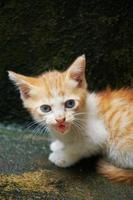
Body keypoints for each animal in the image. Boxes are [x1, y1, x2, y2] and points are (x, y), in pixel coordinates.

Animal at [8, 55, 133, 184]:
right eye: (45, 108)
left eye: (70, 103)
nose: (60, 119)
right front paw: (58, 145)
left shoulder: (98, 135)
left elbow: (79, 147)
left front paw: (61, 157)